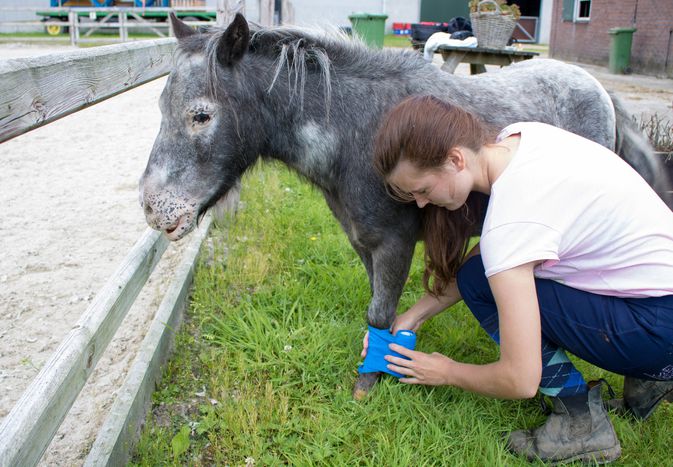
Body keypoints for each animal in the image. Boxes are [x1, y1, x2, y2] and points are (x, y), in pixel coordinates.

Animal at [139, 13, 668, 394]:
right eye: (160, 109)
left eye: (201, 115)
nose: (153, 209)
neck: (356, 130)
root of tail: (599, 89)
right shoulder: (365, 244)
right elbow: (383, 308)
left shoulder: (394, 243)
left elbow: (379, 313)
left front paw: (367, 385)